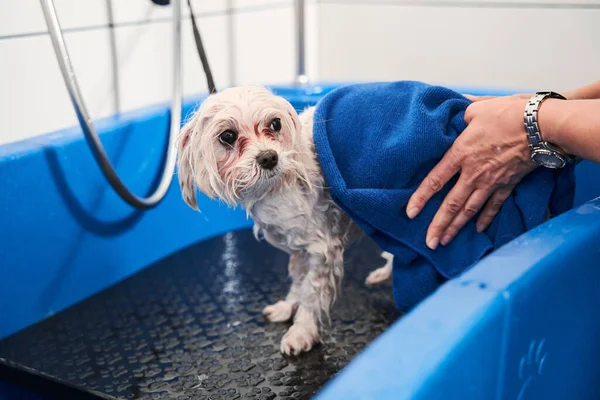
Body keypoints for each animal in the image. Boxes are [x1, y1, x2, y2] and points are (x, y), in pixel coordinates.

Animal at [177, 86, 394, 354]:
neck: (277, 188)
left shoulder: (322, 247)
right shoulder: (300, 245)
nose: (269, 157)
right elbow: (299, 283)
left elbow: (311, 292)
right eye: (227, 136)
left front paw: (302, 331)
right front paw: (288, 307)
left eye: (275, 123)